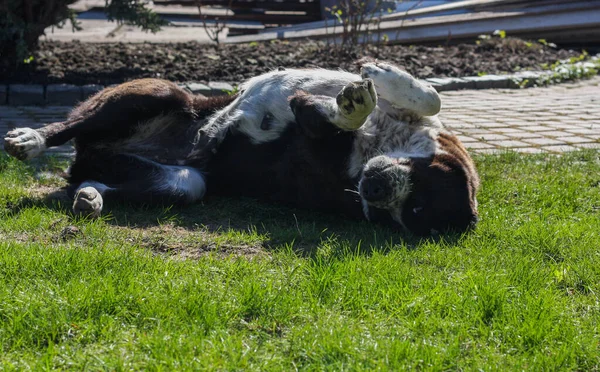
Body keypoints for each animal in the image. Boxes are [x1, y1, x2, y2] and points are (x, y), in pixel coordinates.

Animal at [1, 60, 478, 235]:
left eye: (410, 213)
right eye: (420, 201)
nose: (373, 194)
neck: (380, 142)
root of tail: (84, 159)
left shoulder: (313, 125)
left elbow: (333, 115)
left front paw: (354, 105)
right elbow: (430, 98)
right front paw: (378, 78)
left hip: (184, 184)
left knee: (100, 182)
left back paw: (90, 197)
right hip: (158, 93)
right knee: (67, 127)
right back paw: (31, 140)